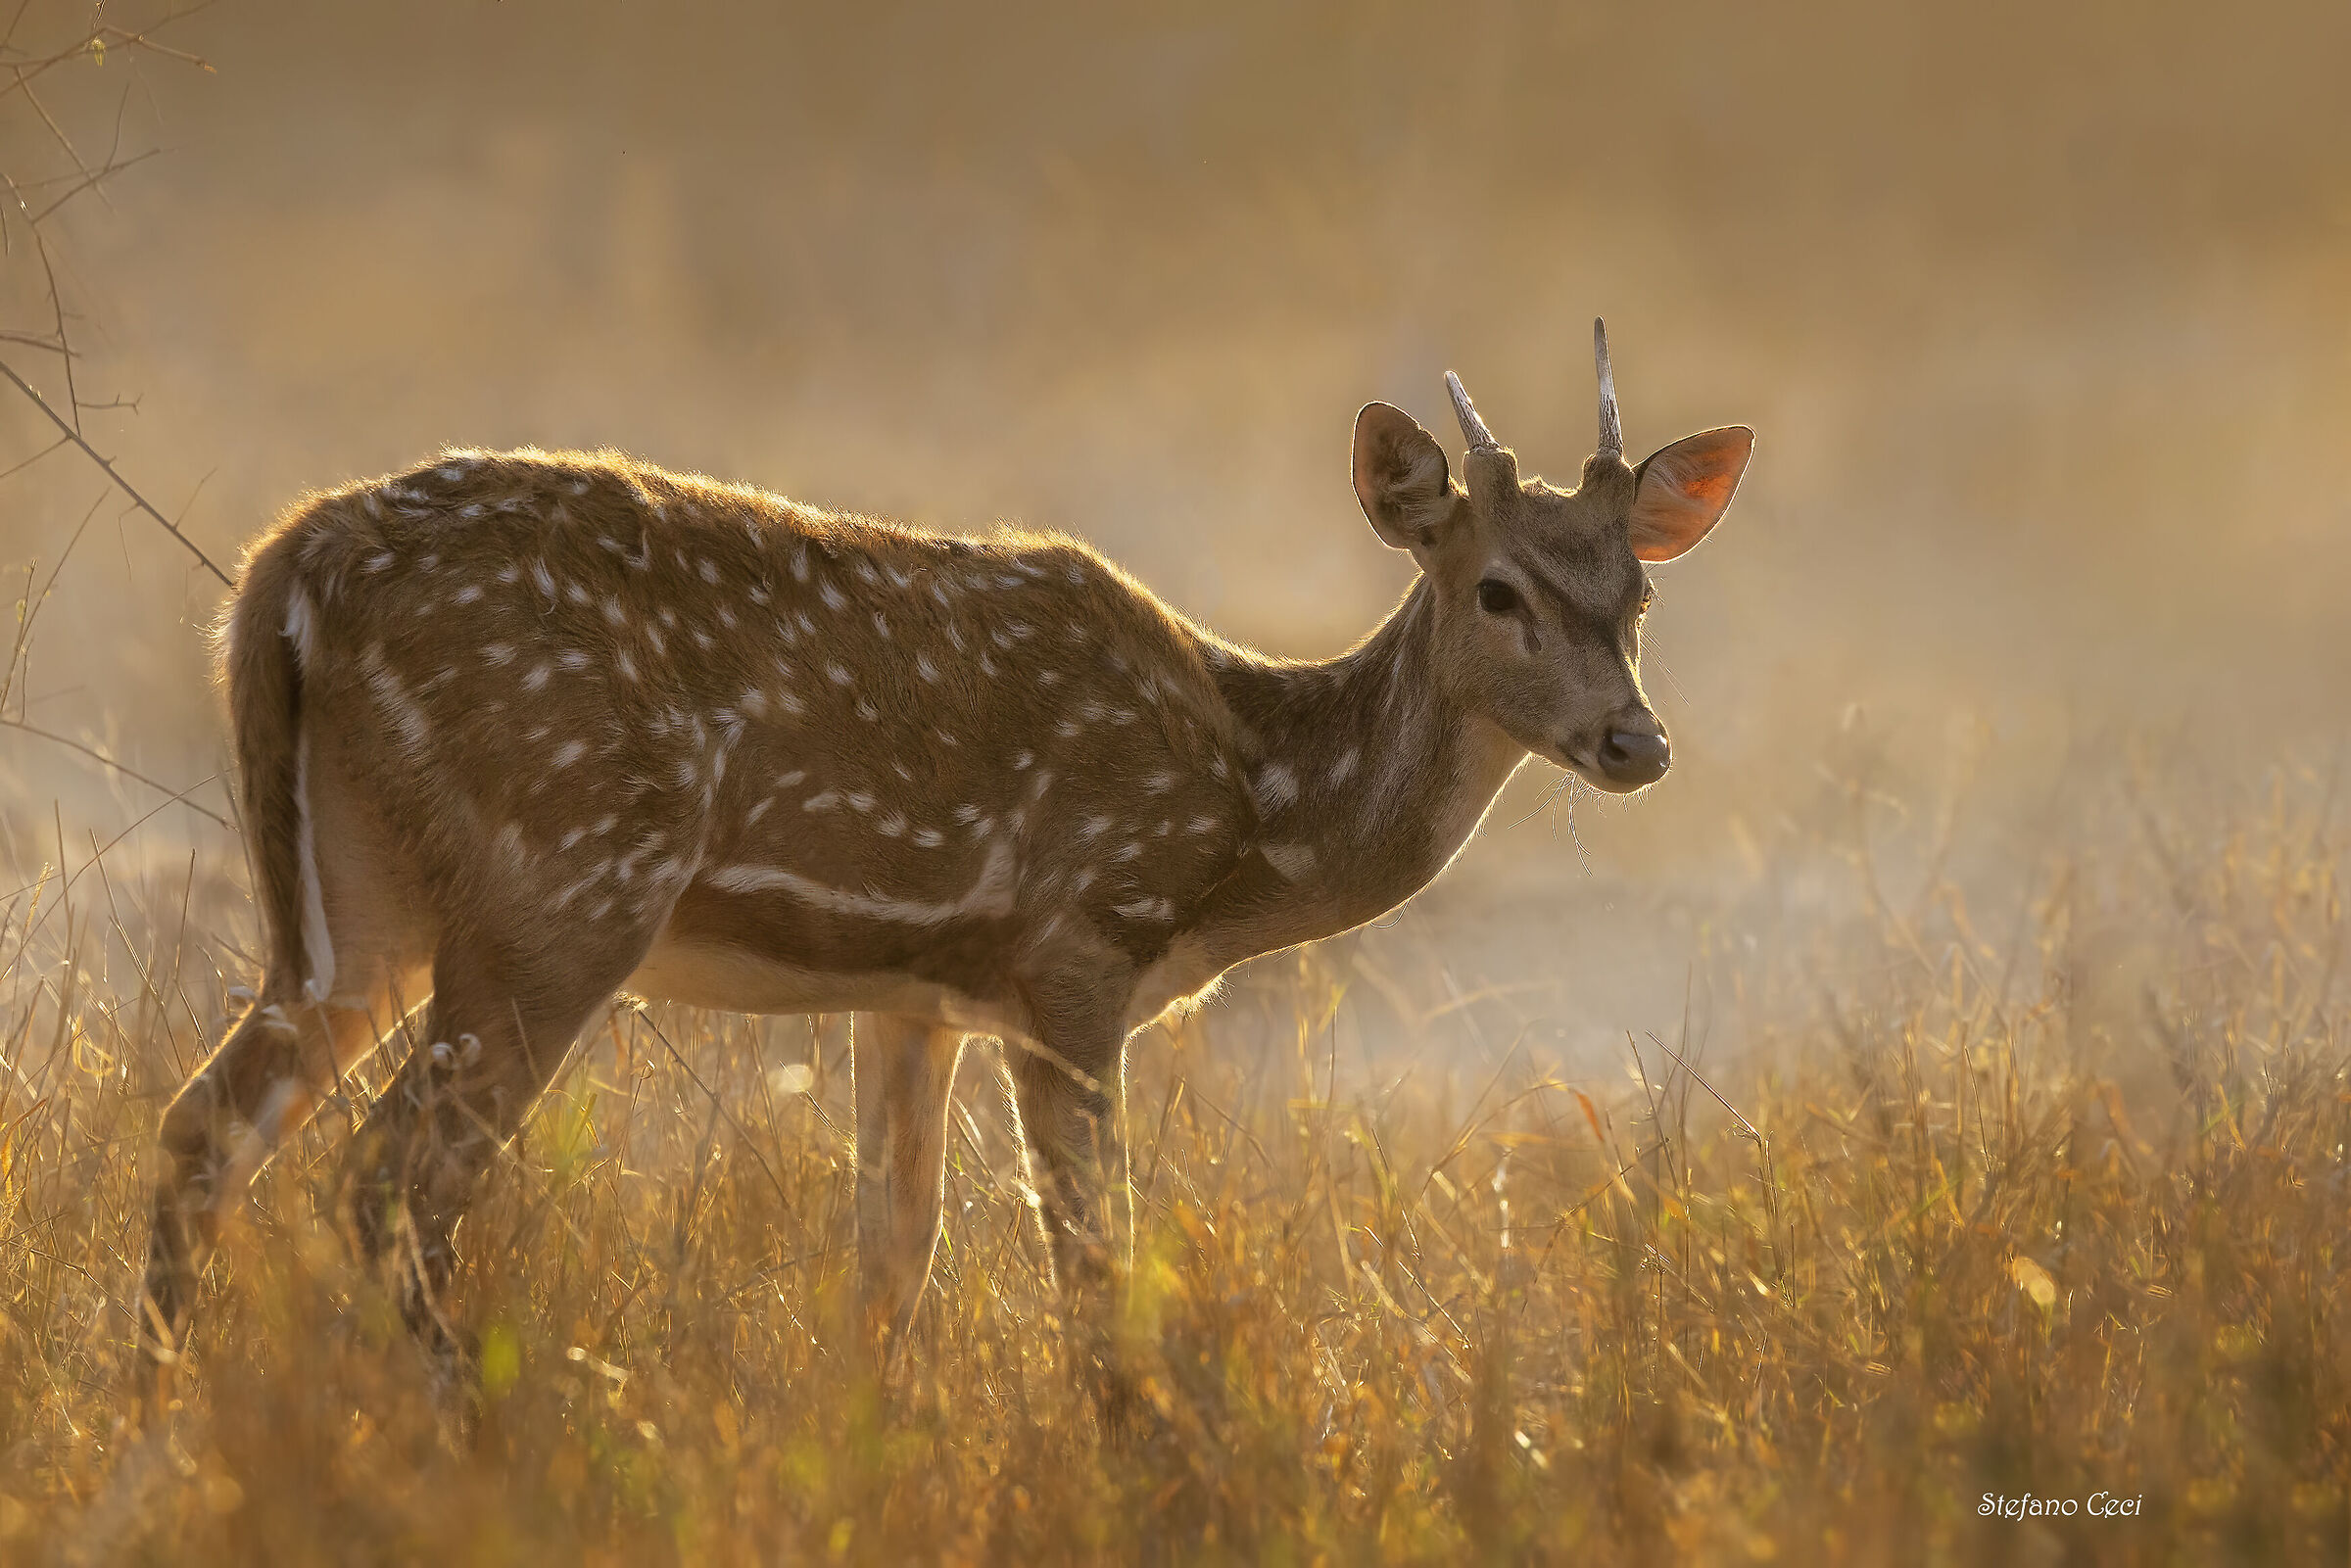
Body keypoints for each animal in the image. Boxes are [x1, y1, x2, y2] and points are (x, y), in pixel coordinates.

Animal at [139, 320, 1752, 1425]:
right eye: (1500, 591)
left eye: (1638, 594)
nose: (1636, 740)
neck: (1249, 810)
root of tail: (282, 568)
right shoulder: (1073, 952)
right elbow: (1094, 1275)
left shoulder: (914, 997)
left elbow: (887, 1273)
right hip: (561, 885)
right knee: (387, 1181)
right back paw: (457, 1430)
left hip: (359, 904)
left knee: (208, 1125)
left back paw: (158, 1421)